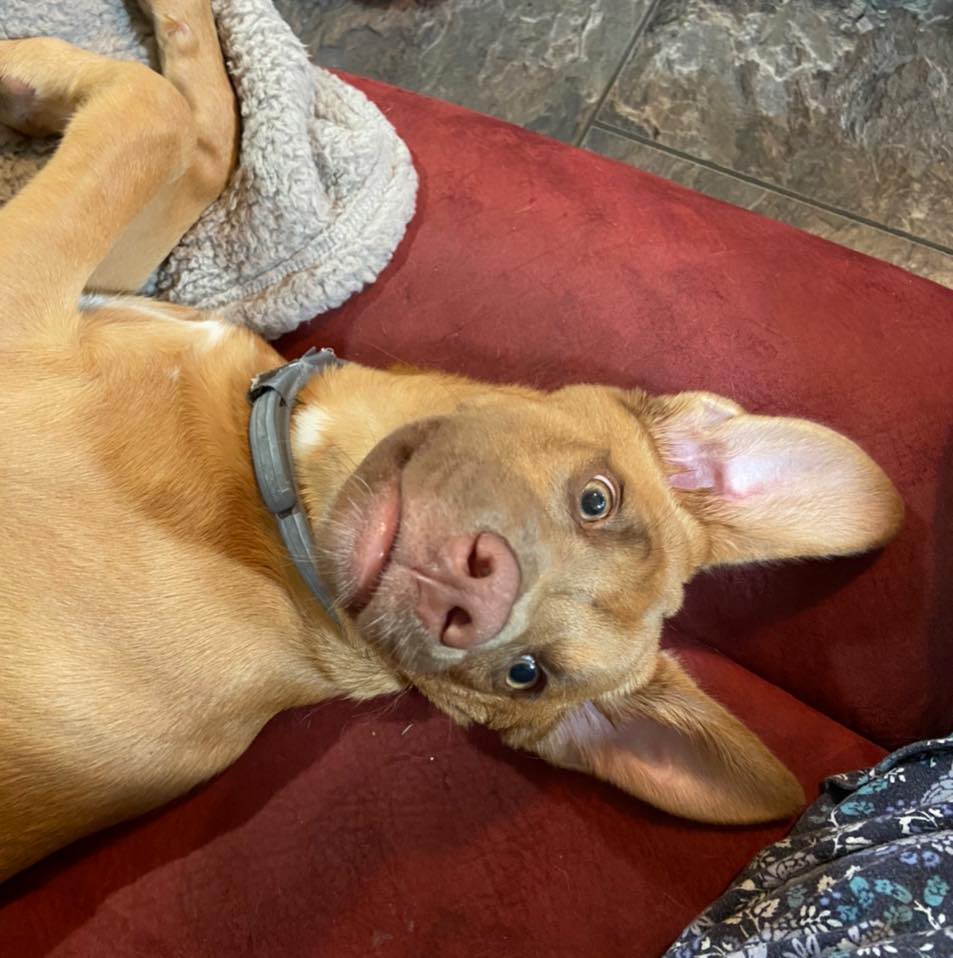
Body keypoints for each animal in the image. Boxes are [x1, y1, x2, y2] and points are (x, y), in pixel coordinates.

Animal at [0, 1, 904, 884]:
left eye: (526, 674)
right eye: (596, 500)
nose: (473, 596)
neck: (270, 506)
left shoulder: (28, 286)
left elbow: (153, 112)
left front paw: (26, 66)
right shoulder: (103, 275)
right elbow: (203, 137)